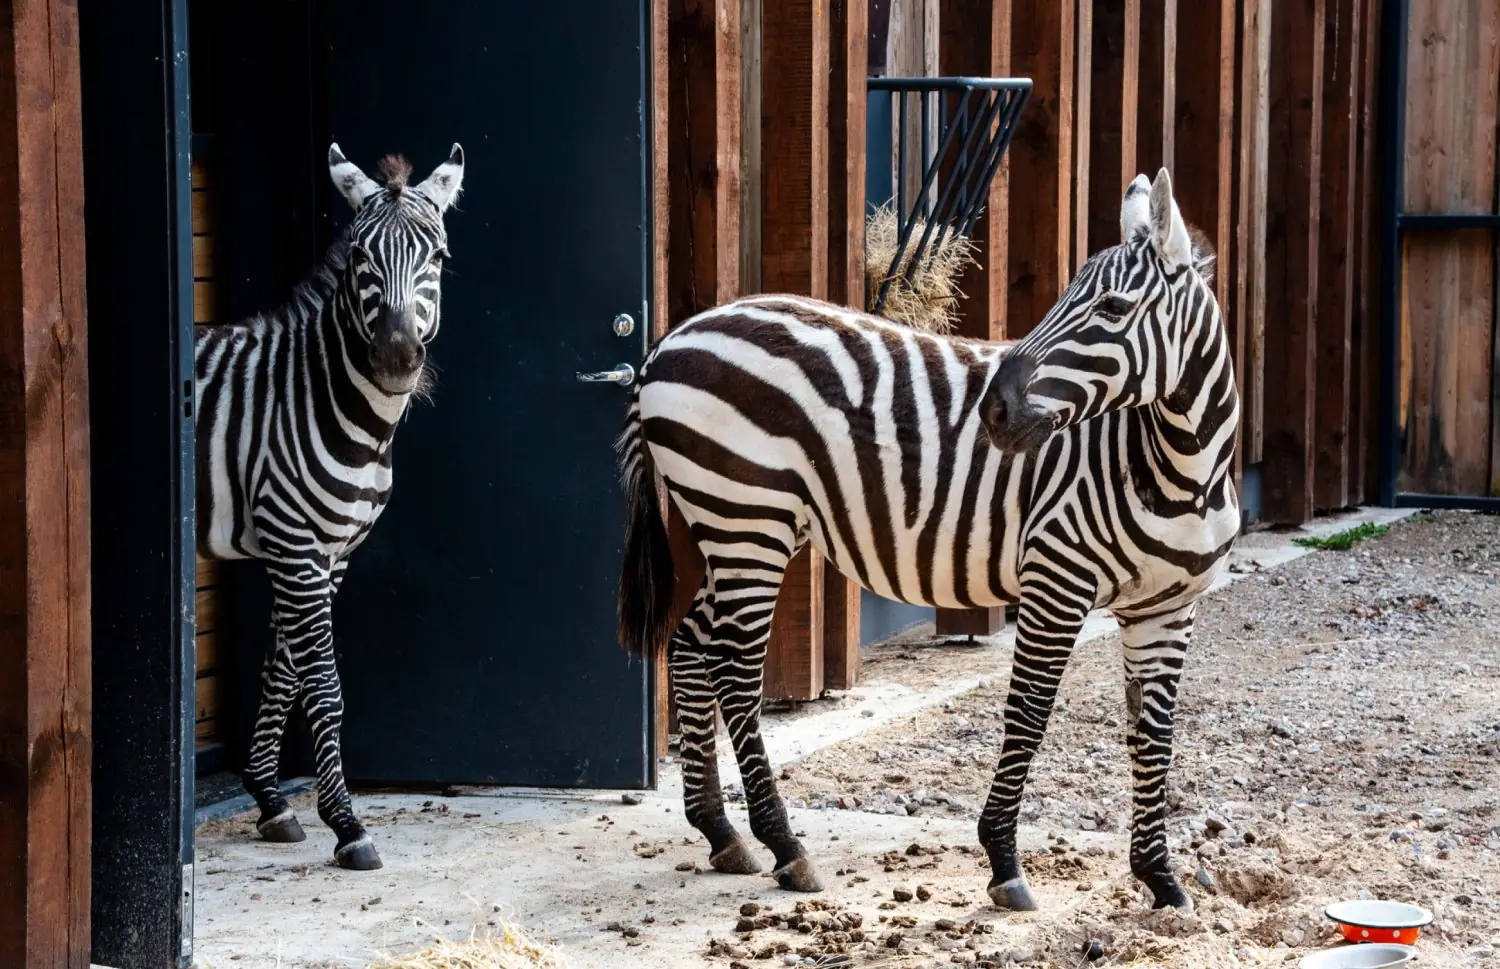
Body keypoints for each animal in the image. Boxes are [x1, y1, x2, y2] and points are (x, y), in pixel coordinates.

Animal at [196, 142, 462, 876]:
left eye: (438, 256)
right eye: (362, 258)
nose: (396, 358)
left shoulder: (331, 551)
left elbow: (282, 670)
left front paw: (269, 799)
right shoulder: (296, 545)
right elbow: (322, 685)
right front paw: (346, 824)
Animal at [615, 171, 1236, 918]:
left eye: (1114, 307)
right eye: (1067, 294)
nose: (994, 411)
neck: (1179, 469)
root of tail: (669, 341)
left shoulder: (1166, 607)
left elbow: (1154, 733)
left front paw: (1162, 880)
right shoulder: (1056, 577)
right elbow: (1029, 712)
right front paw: (1003, 862)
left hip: (732, 523)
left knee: (692, 644)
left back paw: (721, 831)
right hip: (748, 516)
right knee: (733, 669)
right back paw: (786, 847)